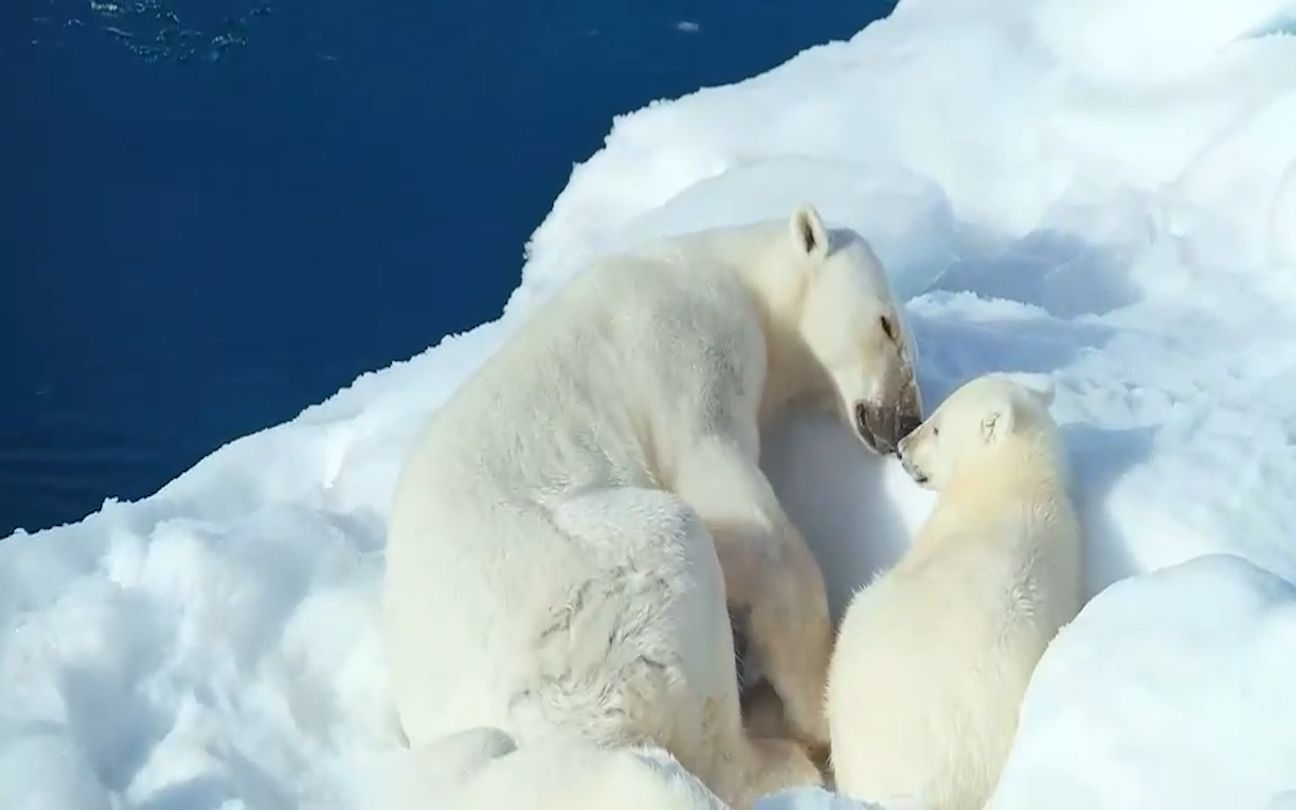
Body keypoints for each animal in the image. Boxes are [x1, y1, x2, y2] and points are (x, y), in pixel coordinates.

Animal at [381, 204, 922, 803]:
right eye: (887, 325)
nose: (907, 423)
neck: (735, 273)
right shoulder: (685, 351)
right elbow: (740, 514)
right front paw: (818, 696)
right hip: (579, 615)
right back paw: (779, 754)